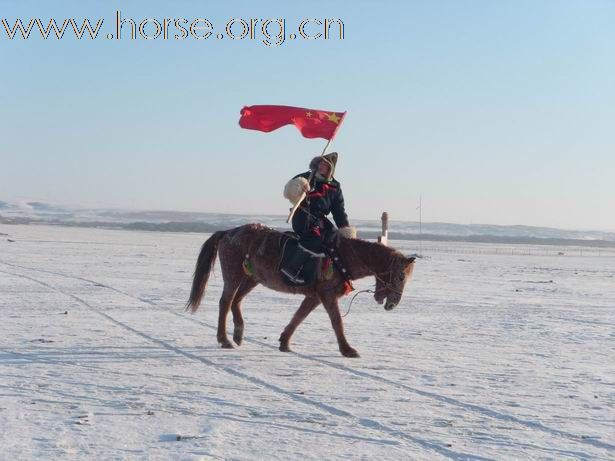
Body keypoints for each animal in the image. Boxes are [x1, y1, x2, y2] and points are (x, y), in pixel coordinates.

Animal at [186, 223, 418, 356]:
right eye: (400, 276)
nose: (393, 303)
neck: (344, 256)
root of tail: (228, 232)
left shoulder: (314, 297)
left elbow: (299, 317)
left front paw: (284, 342)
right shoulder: (327, 295)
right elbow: (337, 322)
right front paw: (347, 349)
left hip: (252, 278)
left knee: (237, 301)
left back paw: (238, 333)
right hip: (233, 275)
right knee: (225, 302)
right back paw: (224, 339)